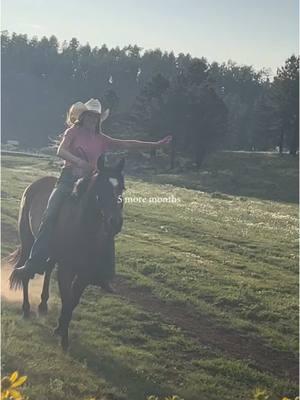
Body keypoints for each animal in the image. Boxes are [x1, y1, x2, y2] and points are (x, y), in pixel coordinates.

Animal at [8, 156, 125, 350]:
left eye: (122, 188)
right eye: (101, 187)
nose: (115, 222)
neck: (84, 230)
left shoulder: (84, 274)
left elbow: (73, 301)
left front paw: (60, 329)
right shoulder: (66, 270)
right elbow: (67, 299)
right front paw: (63, 337)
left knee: (47, 269)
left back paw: (43, 305)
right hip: (27, 241)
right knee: (25, 272)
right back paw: (26, 310)